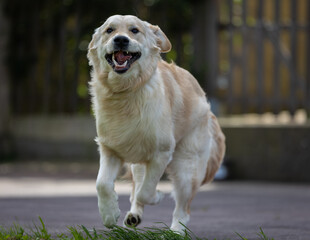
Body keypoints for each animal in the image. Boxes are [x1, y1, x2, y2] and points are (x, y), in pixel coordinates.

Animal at [87, 14, 225, 232]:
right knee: (136, 189)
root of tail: (206, 102)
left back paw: (176, 231)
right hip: (139, 164)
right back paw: (134, 216)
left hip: (187, 168)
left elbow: (146, 191)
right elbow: (102, 184)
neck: (126, 90)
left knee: (182, 207)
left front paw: (158, 195)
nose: (120, 40)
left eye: (134, 30)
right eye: (110, 30)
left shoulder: (161, 153)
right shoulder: (110, 150)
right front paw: (109, 214)